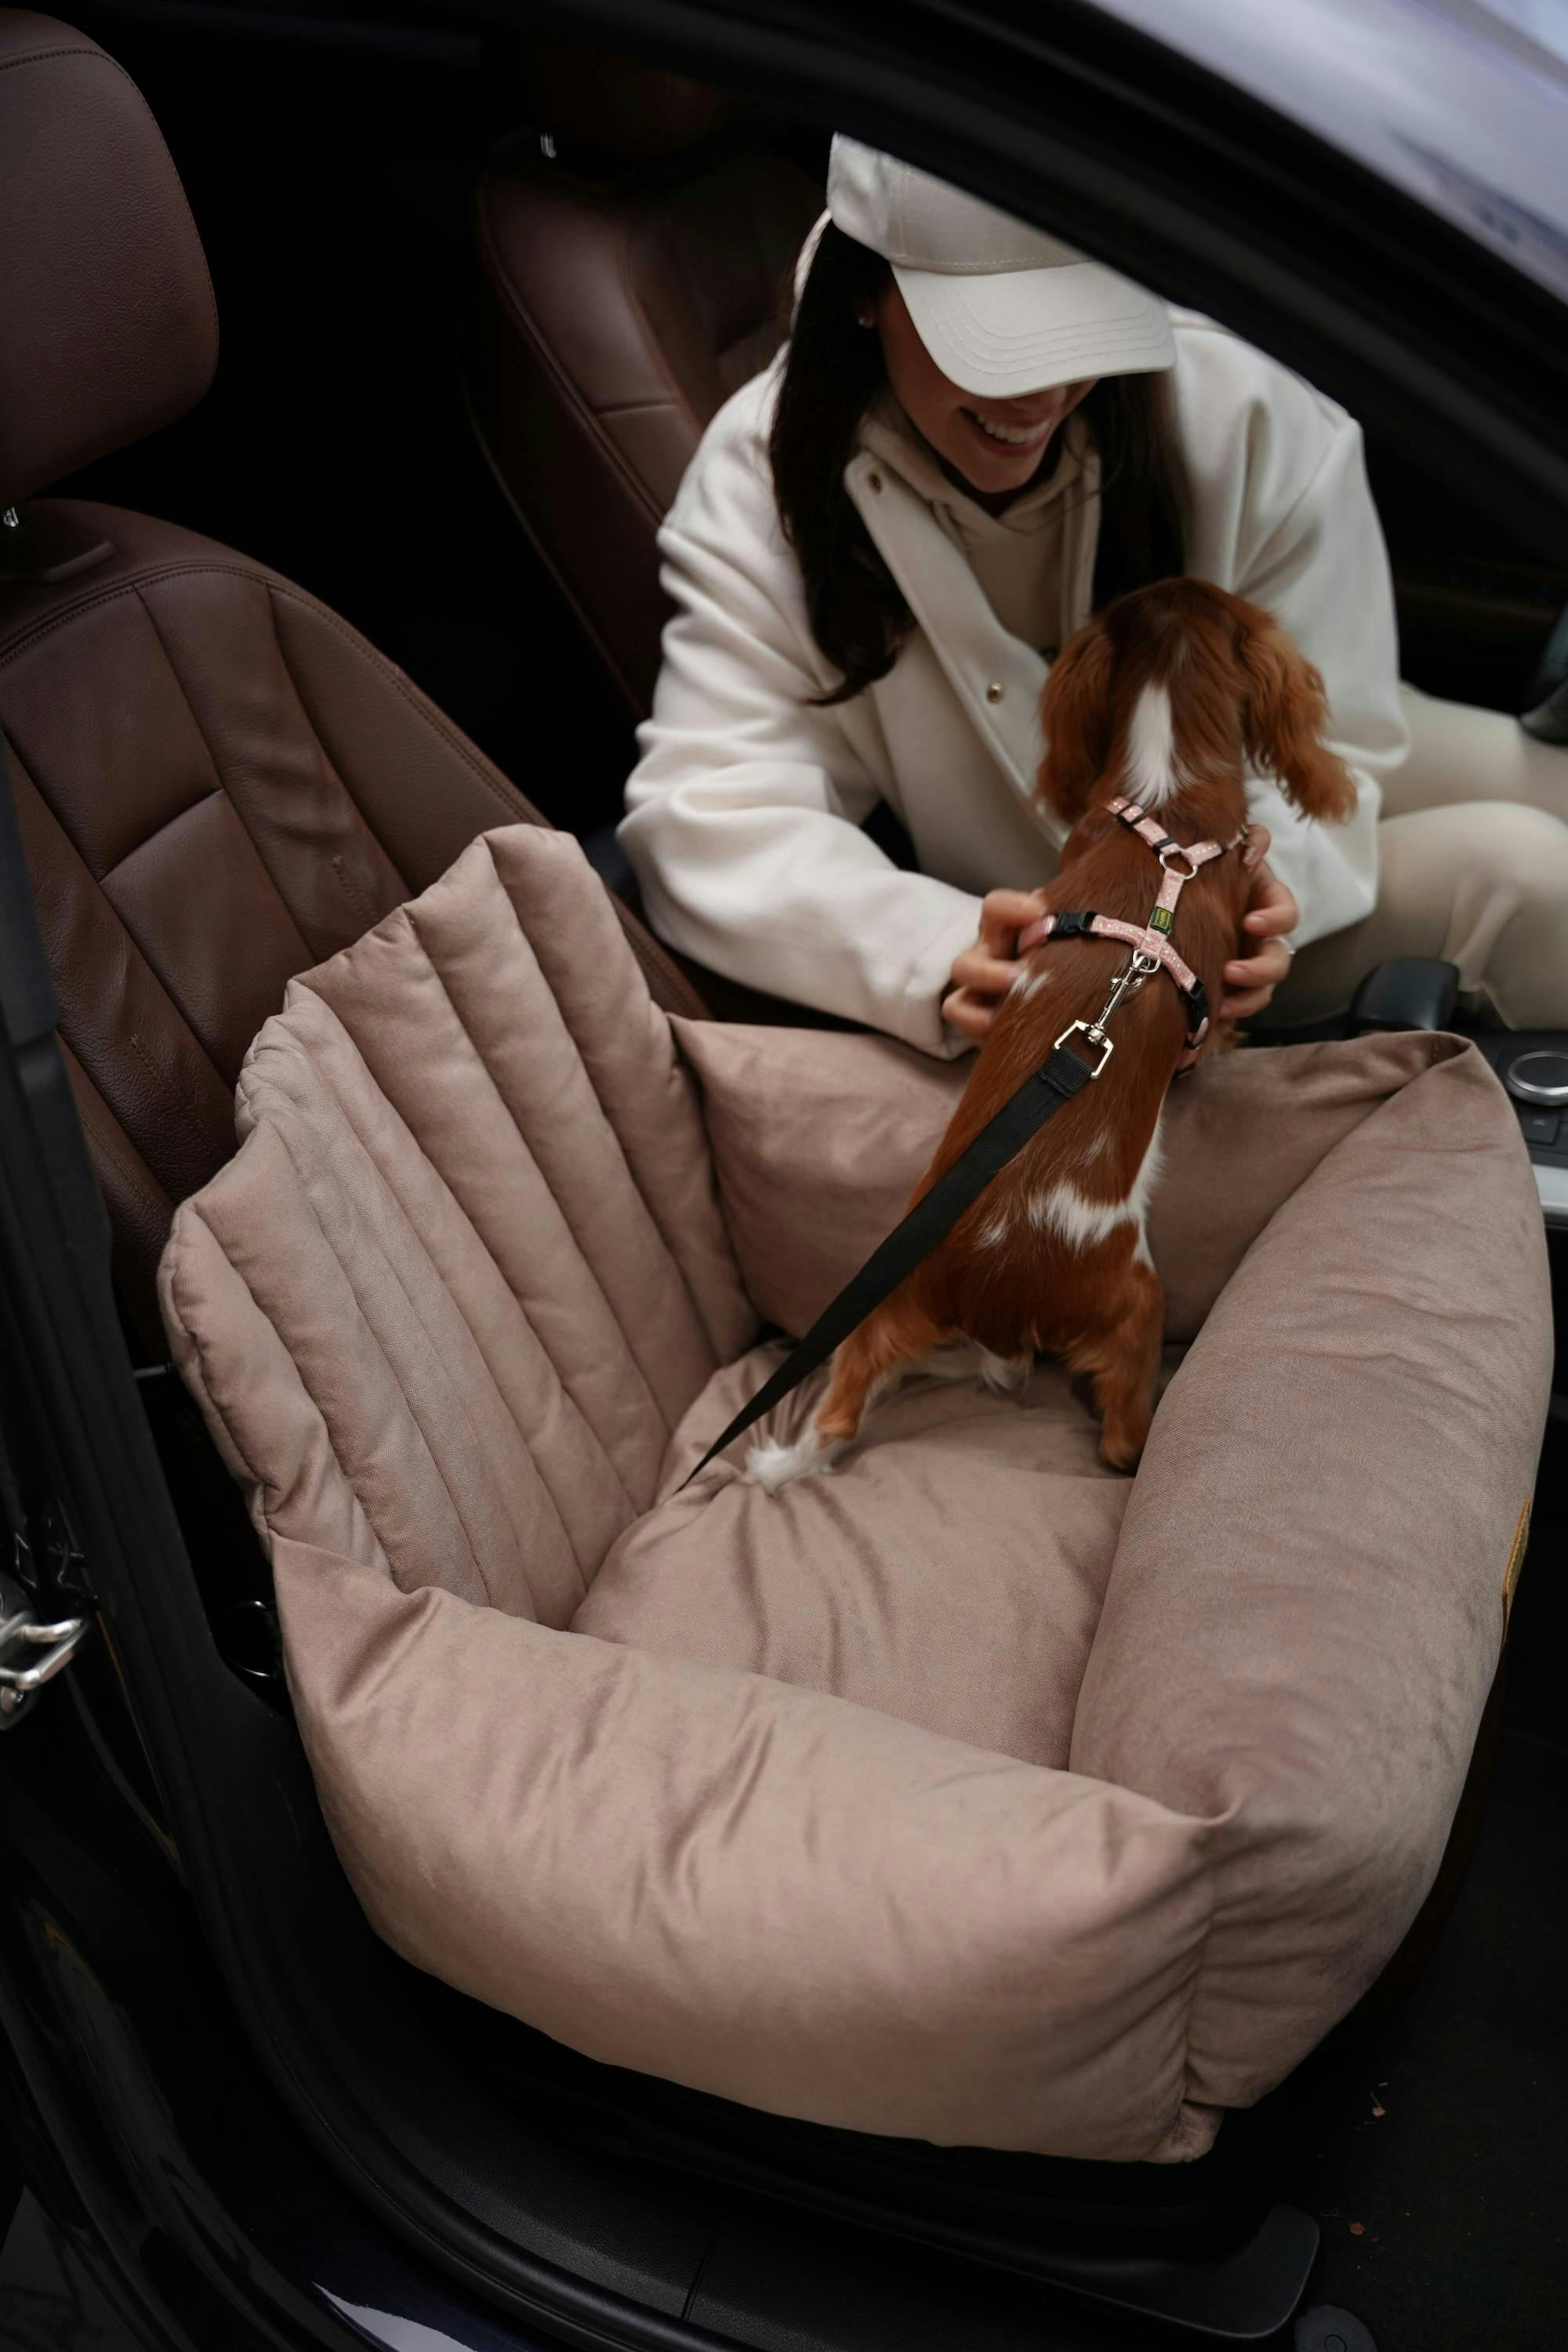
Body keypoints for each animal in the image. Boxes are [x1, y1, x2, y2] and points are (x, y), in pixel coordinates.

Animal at [750, 578, 1357, 1486]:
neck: (1164, 808)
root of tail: (984, 1278)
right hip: (1134, 1303)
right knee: (1119, 1438)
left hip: (875, 1313)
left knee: (834, 1419)